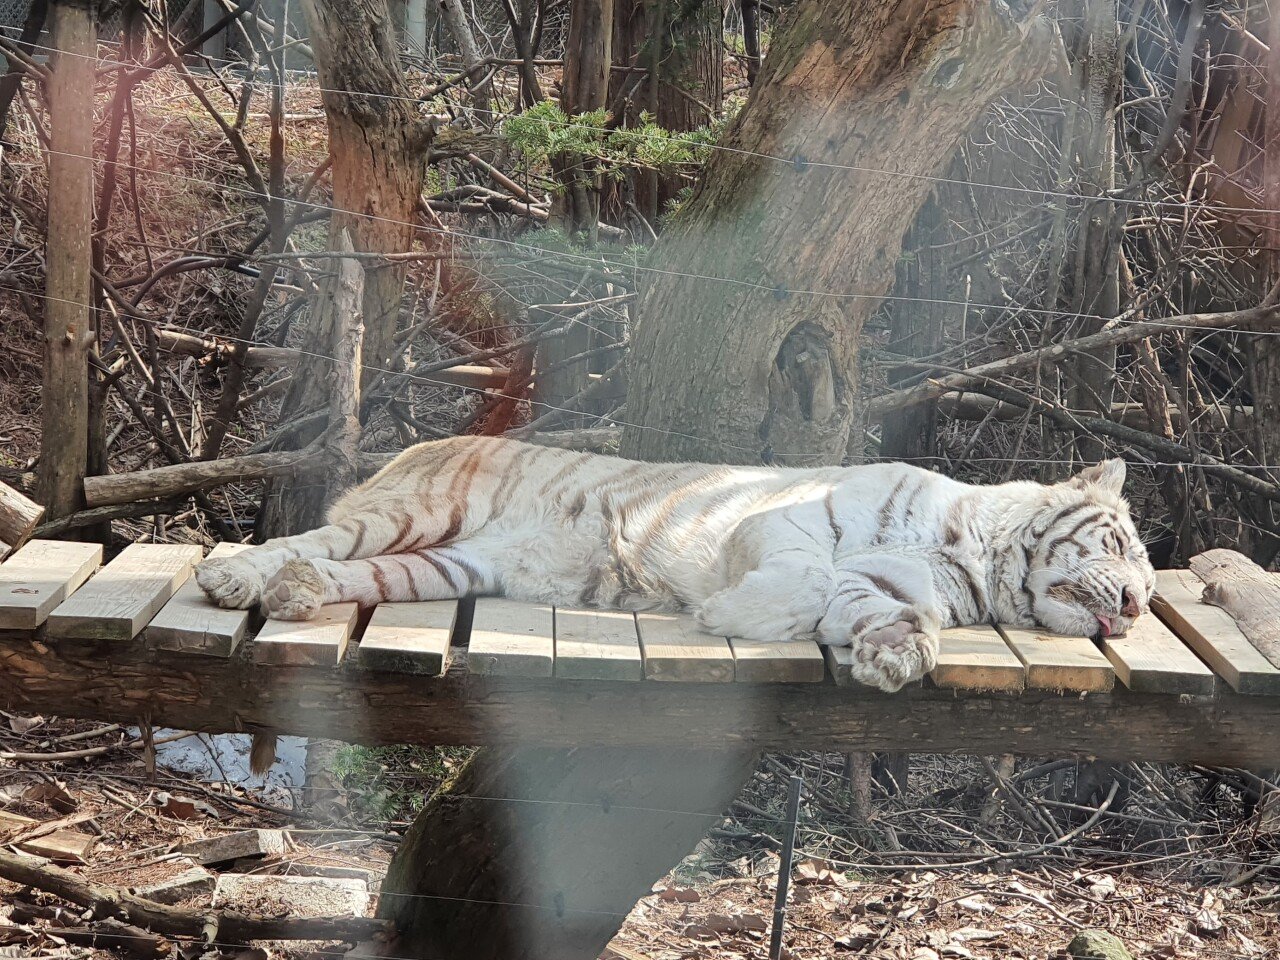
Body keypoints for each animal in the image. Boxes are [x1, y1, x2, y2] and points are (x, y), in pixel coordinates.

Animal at [194, 440, 1157, 696]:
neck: (974, 560)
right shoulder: (788, 522)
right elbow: (806, 580)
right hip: (415, 514)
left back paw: (294, 597)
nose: (1140, 605)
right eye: (1121, 549)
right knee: (307, 541)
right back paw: (235, 578)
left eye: (1150, 583)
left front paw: (893, 657)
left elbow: (884, 610)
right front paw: (734, 614)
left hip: (443, 566)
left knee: (342, 574)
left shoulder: (888, 585)